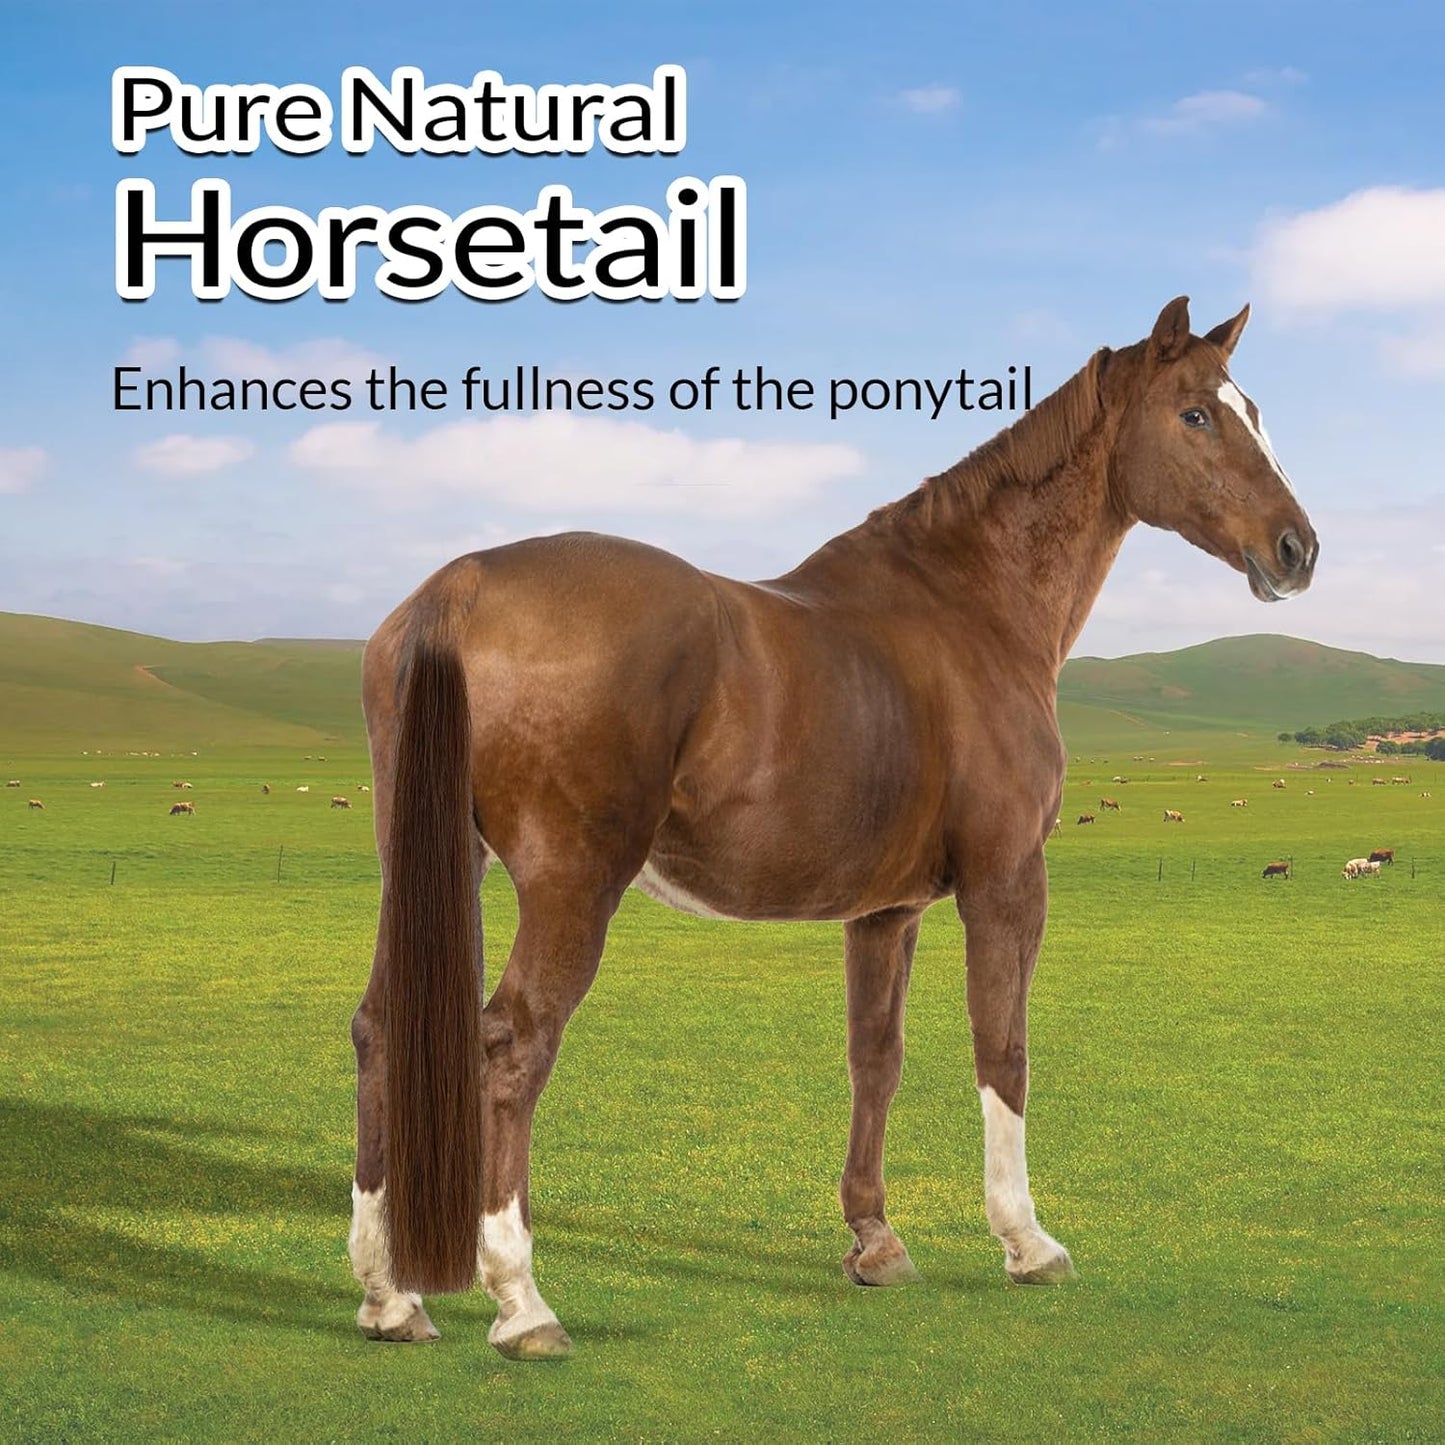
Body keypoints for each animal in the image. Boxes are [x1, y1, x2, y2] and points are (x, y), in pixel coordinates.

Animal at [346, 297, 1317, 1358]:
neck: (969, 605)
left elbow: (875, 1058)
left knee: (378, 1029)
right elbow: (1002, 1049)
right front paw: (1026, 1241)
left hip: (431, 866)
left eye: (1254, 409)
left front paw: (874, 1240)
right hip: (570, 884)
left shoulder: (884, 910)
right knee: (512, 1047)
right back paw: (522, 1302)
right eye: (1195, 414)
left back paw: (390, 1295)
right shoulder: (1006, 881)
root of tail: (461, 588)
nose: (1296, 549)